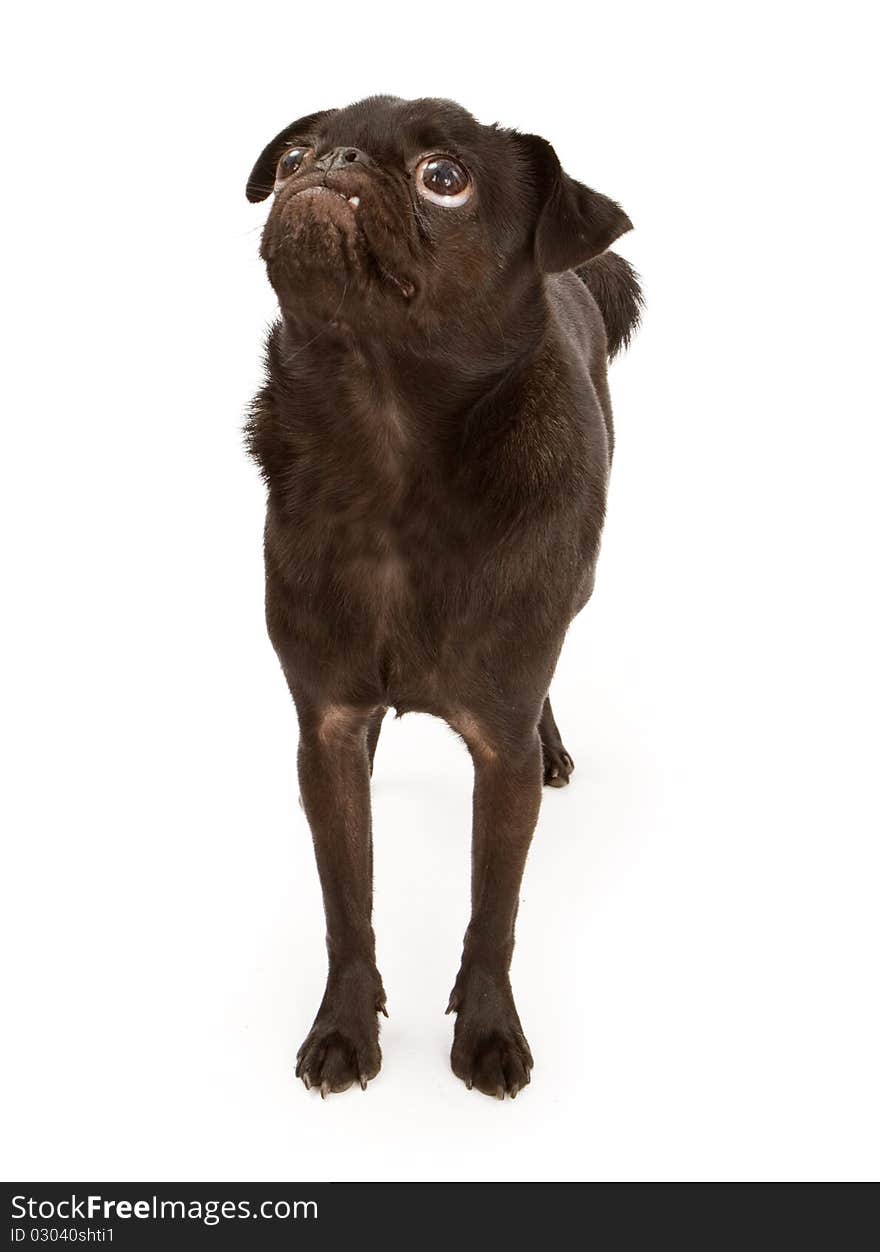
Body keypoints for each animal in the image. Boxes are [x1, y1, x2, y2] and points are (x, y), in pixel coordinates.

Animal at [244, 97, 645, 1096]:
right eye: (295, 157)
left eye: (444, 179)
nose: (333, 161)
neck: (388, 450)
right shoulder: (326, 728)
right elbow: (347, 907)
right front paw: (344, 1029)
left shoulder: (498, 758)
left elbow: (494, 915)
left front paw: (489, 1032)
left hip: (576, 591)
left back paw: (555, 743)